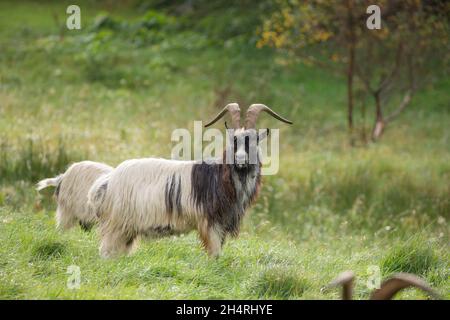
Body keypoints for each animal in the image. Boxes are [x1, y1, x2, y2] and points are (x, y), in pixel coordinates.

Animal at [89, 103, 294, 258]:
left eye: (253, 141)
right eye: (233, 141)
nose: (241, 159)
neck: (221, 178)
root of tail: (107, 181)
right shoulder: (209, 223)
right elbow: (215, 254)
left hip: (126, 229)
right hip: (117, 224)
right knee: (105, 250)